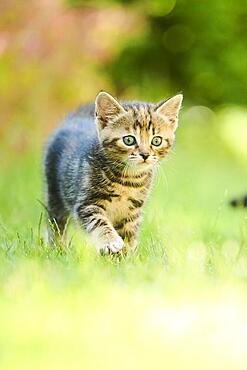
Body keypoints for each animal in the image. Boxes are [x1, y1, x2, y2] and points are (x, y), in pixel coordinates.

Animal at [44, 91, 182, 256]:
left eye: (156, 141)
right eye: (129, 140)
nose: (145, 154)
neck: (128, 180)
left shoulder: (132, 212)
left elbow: (129, 234)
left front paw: (127, 256)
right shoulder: (86, 203)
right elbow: (99, 222)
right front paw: (111, 242)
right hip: (54, 192)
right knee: (56, 223)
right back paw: (58, 248)